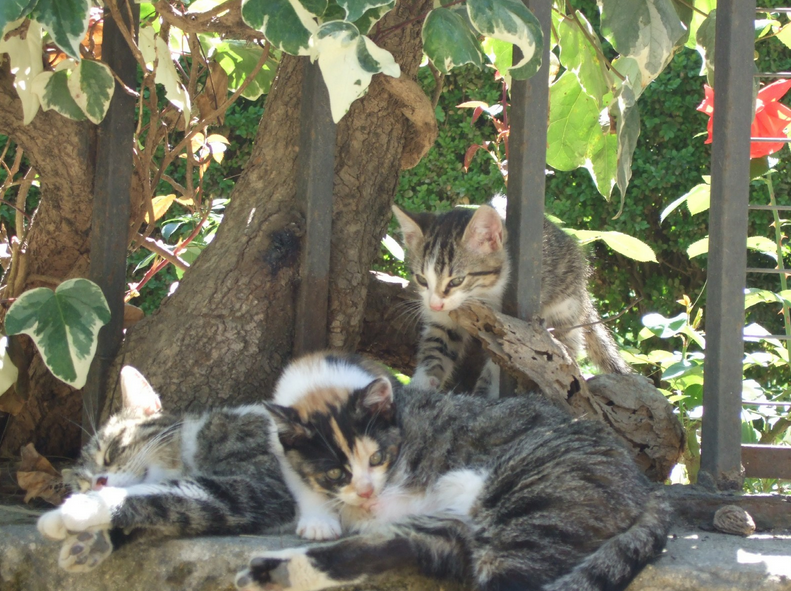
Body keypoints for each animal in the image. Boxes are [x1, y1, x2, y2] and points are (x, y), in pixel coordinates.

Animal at [37, 366, 294, 572]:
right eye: (83, 484)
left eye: (112, 450)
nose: (98, 483)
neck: (194, 440)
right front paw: (89, 541)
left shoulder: (262, 487)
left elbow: (161, 496)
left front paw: (73, 511)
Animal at [237, 354, 676, 591]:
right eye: (334, 474)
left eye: (378, 459)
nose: (366, 494)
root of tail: (647, 486)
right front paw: (319, 517)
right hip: (463, 523)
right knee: (407, 545)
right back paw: (275, 571)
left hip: (534, 504)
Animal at [392, 201, 636, 396]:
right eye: (422, 279)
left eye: (456, 281)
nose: (434, 304)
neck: (479, 295)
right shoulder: (444, 319)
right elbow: (437, 345)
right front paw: (422, 383)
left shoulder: (507, 329)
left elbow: (501, 364)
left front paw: (483, 394)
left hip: (565, 305)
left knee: (565, 346)